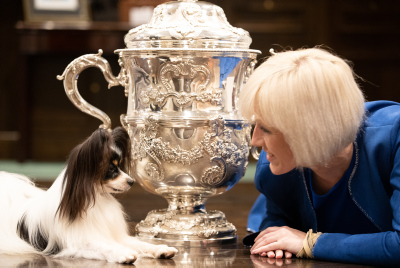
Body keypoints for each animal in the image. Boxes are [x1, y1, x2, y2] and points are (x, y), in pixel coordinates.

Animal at [0, 126, 178, 262]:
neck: (97, 199)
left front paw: (160, 249)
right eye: (111, 169)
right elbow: (105, 246)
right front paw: (123, 253)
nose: (131, 181)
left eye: (119, 166)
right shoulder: (79, 243)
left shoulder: (116, 236)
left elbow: (140, 243)